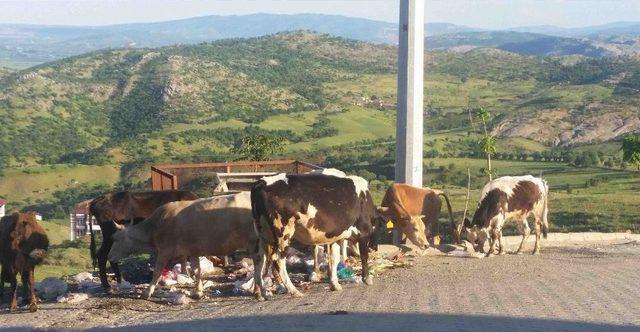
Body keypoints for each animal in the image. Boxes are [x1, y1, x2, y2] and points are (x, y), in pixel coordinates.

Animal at [109, 191, 258, 300]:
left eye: (115, 239)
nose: (109, 256)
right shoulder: (193, 251)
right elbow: (196, 270)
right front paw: (198, 291)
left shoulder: (164, 251)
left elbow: (157, 272)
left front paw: (147, 292)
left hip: (254, 242)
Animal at [250, 172, 378, 300]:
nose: (376, 247)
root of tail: (262, 182)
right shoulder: (364, 232)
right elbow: (364, 256)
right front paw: (367, 279)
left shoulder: (336, 237)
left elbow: (334, 259)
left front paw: (334, 284)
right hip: (283, 232)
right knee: (278, 260)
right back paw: (294, 291)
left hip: (263, 233)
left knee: (258, 258)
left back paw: (259, 293)